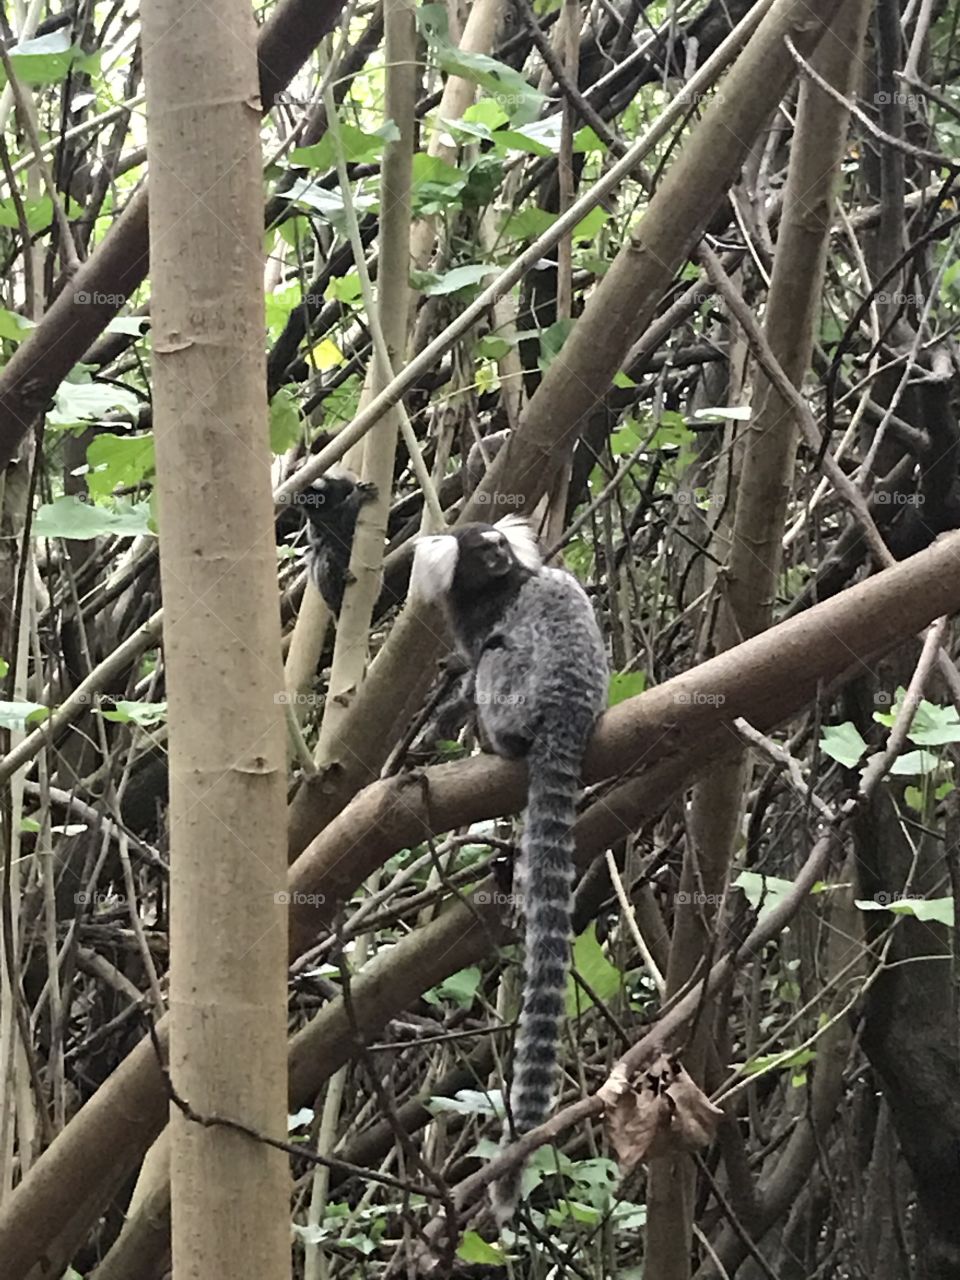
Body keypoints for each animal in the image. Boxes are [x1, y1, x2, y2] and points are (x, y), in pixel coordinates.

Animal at [297, 469, 377, 614]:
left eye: (312, 497)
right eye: (305, 499)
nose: (312, 504)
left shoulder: (344, 482)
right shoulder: (316, 516)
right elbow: (336, 530)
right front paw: (358, 496)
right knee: (324, 552)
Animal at [409, 516, 608, 1223]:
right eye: (483, 546)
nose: (498, 555)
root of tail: (572, 709)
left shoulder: (484, 622)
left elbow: (482, 649)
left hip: (517, 693)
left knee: (499, 657)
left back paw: (498, 740)